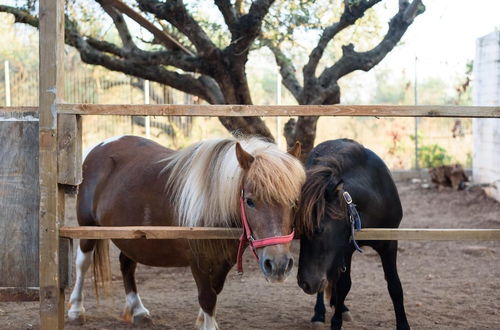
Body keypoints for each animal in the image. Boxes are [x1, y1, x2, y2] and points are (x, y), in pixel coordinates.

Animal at [67, 135, 304, 328]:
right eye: (250, 201)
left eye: (294, 201)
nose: (278, 265)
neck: (212, 203)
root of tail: (100, 147)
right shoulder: (198, 261)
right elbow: (207, 298)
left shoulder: (223, 260)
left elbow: (215, 292)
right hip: (88, 228)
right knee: (82, 263)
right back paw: (76, 310)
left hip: (131, 236)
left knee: (127, 265)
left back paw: (138, 311)